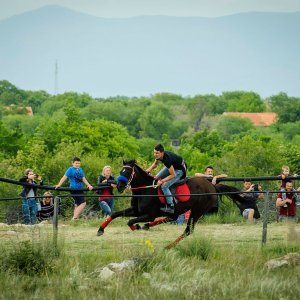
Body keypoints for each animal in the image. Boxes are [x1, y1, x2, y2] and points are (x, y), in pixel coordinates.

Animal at [97, 159, 243, 248]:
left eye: (128, 172)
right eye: (121, 171)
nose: (120, 186)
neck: (146, 189)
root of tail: (212, 185)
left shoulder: (149, 214)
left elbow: (130, 221)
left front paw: (136, 226)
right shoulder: (136, 210)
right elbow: (115, 214)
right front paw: (100, 229)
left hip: (197, 210)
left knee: (188, 230)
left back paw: (167, 246)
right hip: (183, 209)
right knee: (173, 217)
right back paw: (148, 226)